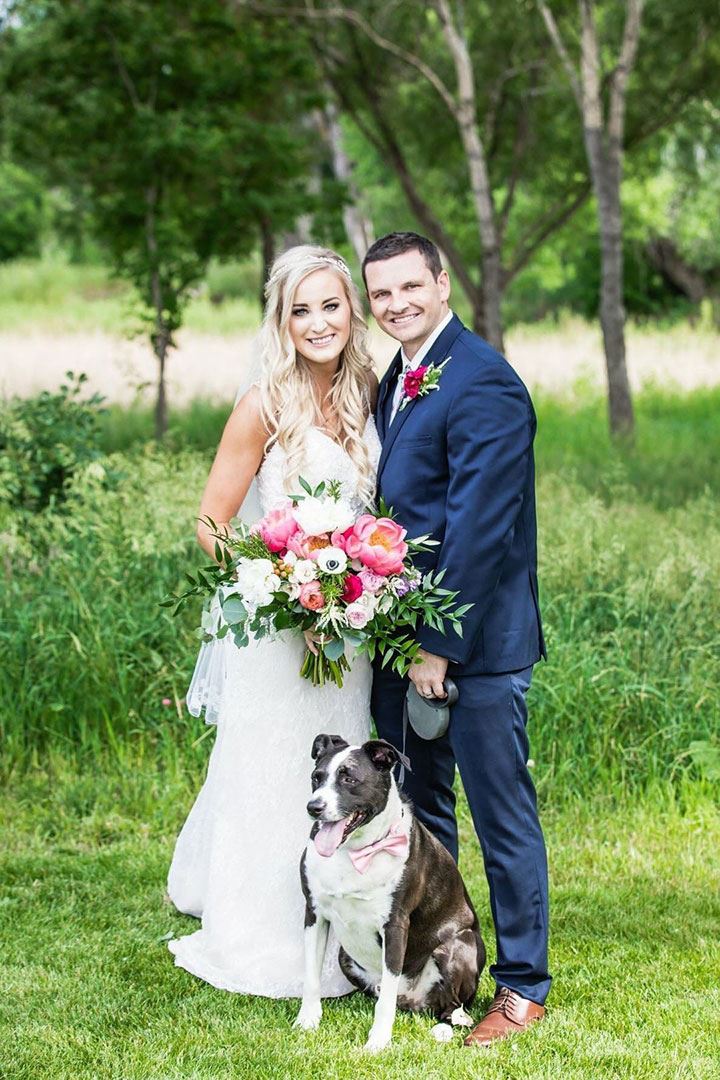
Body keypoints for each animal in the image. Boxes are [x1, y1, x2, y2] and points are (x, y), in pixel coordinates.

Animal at [293, 730, 483, 1049]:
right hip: (345, 956)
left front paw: (378, 1042)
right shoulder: (314, 913)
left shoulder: (395, 926)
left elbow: (386, 1001)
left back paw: (446, 1026)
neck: (355, 852)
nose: (313, 807)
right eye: (316, 778)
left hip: (459, 944)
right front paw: (307, 1021)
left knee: (451, 1005)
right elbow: (311, 976)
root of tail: (414, 1000)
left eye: (349, 779)